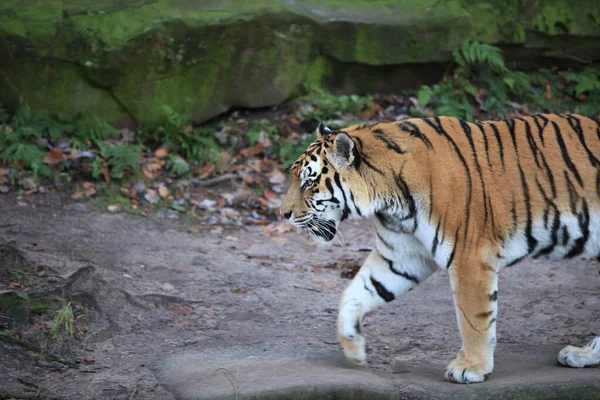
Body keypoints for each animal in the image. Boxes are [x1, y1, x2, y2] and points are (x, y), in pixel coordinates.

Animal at [278, 114, 600, 382]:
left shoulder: (471, 257)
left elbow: (473, 319)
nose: (282, 214)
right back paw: (582, 355)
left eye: (309, 182)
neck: (390, 197)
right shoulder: (401, 256)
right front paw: (354, 347)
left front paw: (471, 367)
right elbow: (356, 293)